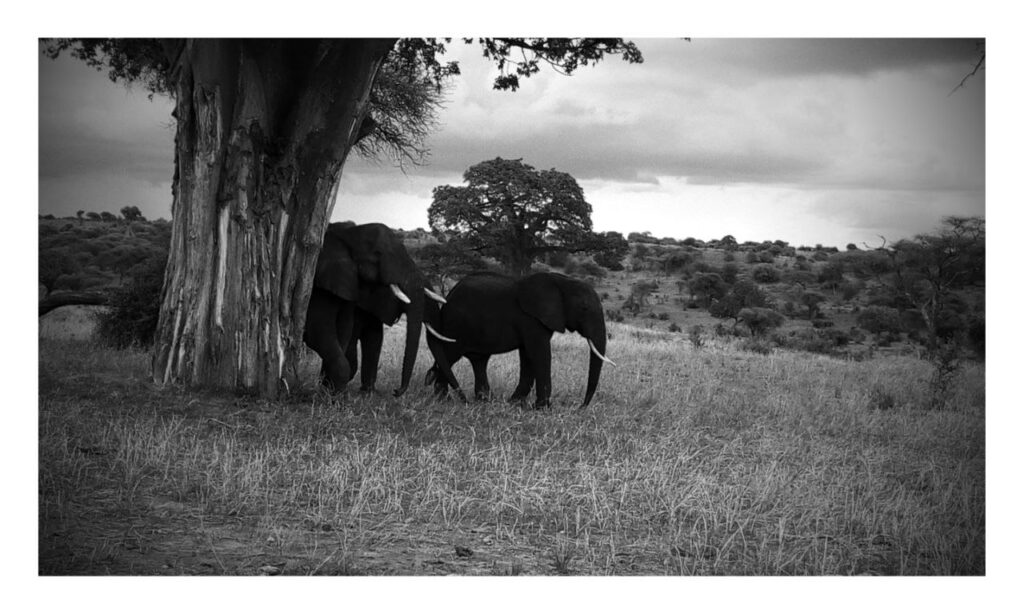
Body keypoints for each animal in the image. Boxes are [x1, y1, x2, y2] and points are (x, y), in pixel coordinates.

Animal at [301, 223, 450, 395]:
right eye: (377, 254)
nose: (395, 391)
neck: (347, 233)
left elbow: (371, 337)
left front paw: (366, 393)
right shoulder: (325, 286)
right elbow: (319, 333)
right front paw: (332, 391)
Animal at [425, 272, 614, 407]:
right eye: (584, 308)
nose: (580, 406)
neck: (561, 281)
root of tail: (448, 296)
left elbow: (528, 356)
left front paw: (515, 404)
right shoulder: (531, 319)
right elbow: (539, 353)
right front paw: (543, 408)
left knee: (479, 360)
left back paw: (484, 401)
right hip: (457, 326)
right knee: (449, 355)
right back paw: (444, 400)